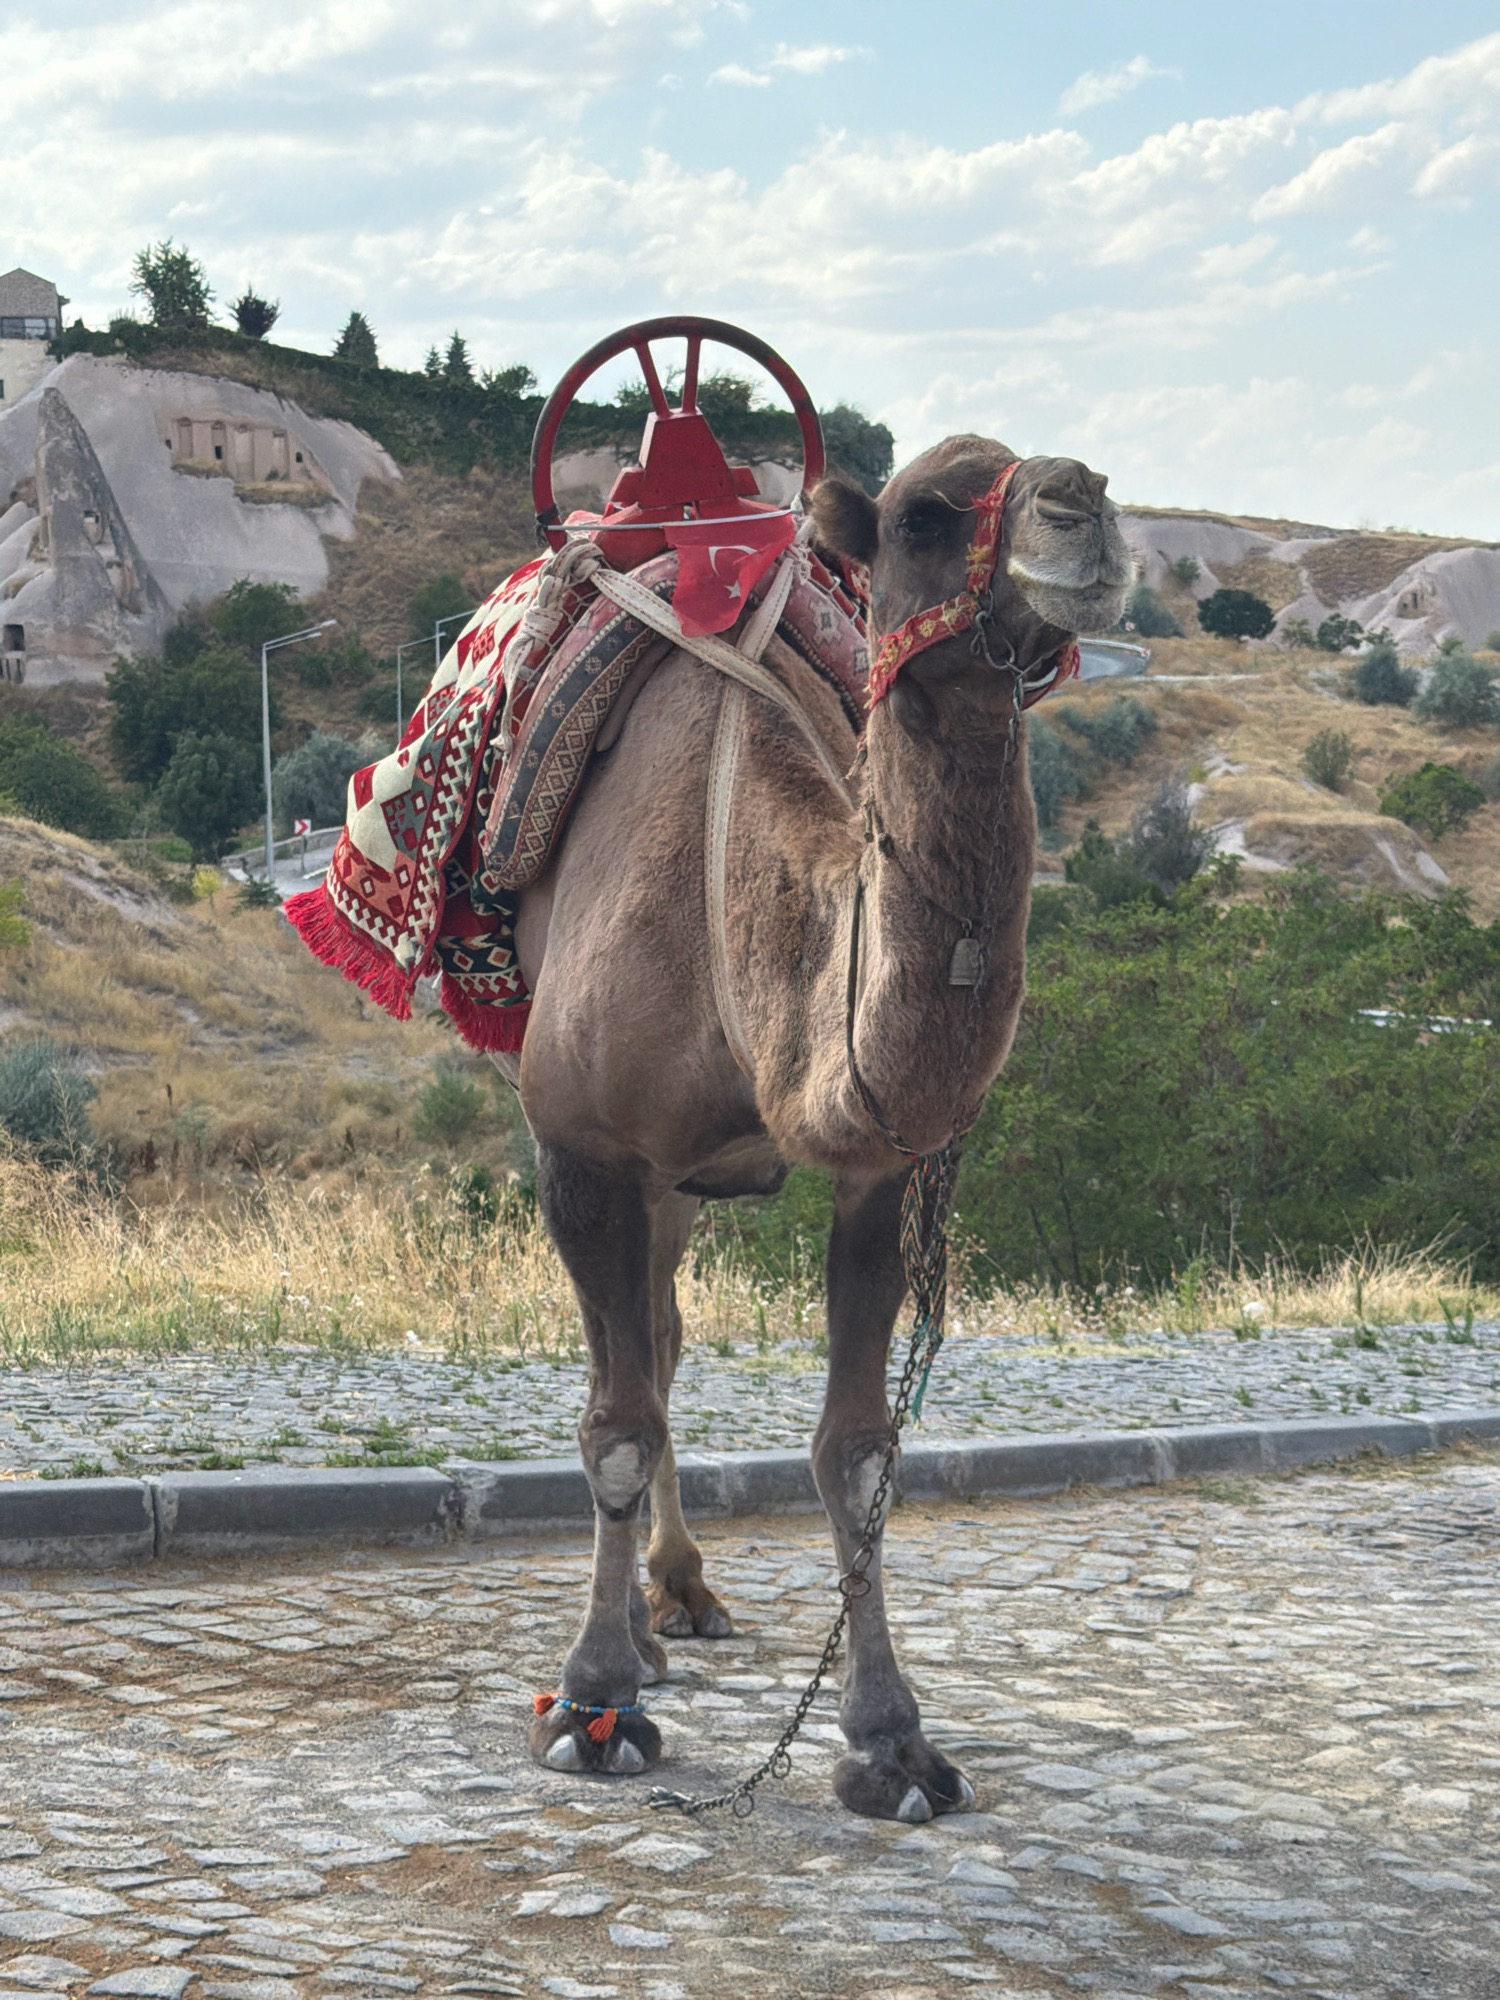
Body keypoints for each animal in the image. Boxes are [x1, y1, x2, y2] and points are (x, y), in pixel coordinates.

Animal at [510, 433, 1131, 1821]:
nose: (1085, 507)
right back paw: (636, 1639)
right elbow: (612, 1426)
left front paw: (890, 1739)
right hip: (631, 1166)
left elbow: (857, 1453)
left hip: (680, 1183)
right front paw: (589, 1700)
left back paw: (678, 1599)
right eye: (925, 513)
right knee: (632, 1367)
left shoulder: (879, 1171)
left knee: (665, 1337)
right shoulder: (581, 1143)